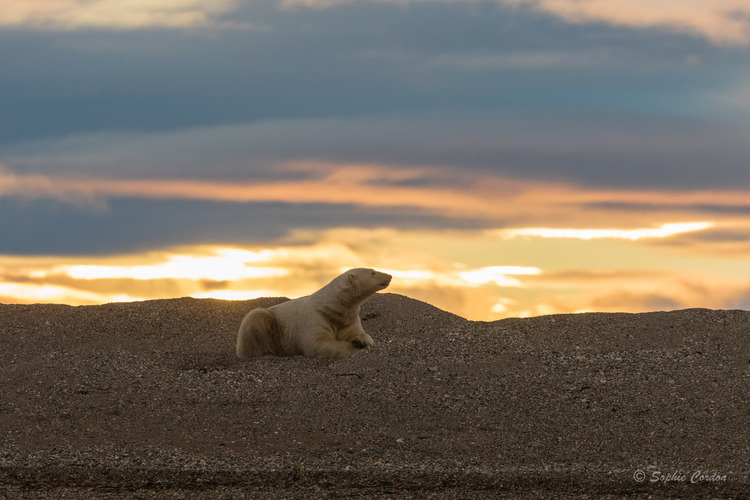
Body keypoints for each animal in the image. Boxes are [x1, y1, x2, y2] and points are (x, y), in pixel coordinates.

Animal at [238, 270, 394, 360]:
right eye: (373, 272)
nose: (390, 275)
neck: (332, 306)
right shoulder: (316, 317)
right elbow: (319, 344)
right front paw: (353, 347)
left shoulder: (346, 319)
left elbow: (359, 333)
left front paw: (361, 341)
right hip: (270, 324)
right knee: (255, 319)